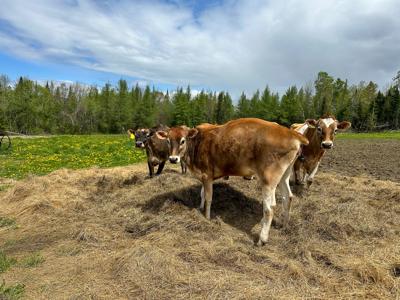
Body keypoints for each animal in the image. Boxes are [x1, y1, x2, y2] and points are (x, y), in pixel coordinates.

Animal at [157, 118, 310, 245]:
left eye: (183, 140)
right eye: (168, 140)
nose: (173, 159)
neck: (197, 143)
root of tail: (291, 133)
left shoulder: (207, 175)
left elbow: (208, 197)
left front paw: (206, 217)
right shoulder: (204, 176)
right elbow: (202, 194)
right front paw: (199, 209)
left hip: (269, 179)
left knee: (270, 208)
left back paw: (262, 239)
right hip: (284, 175)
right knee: (288, 197)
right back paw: (284, 225)